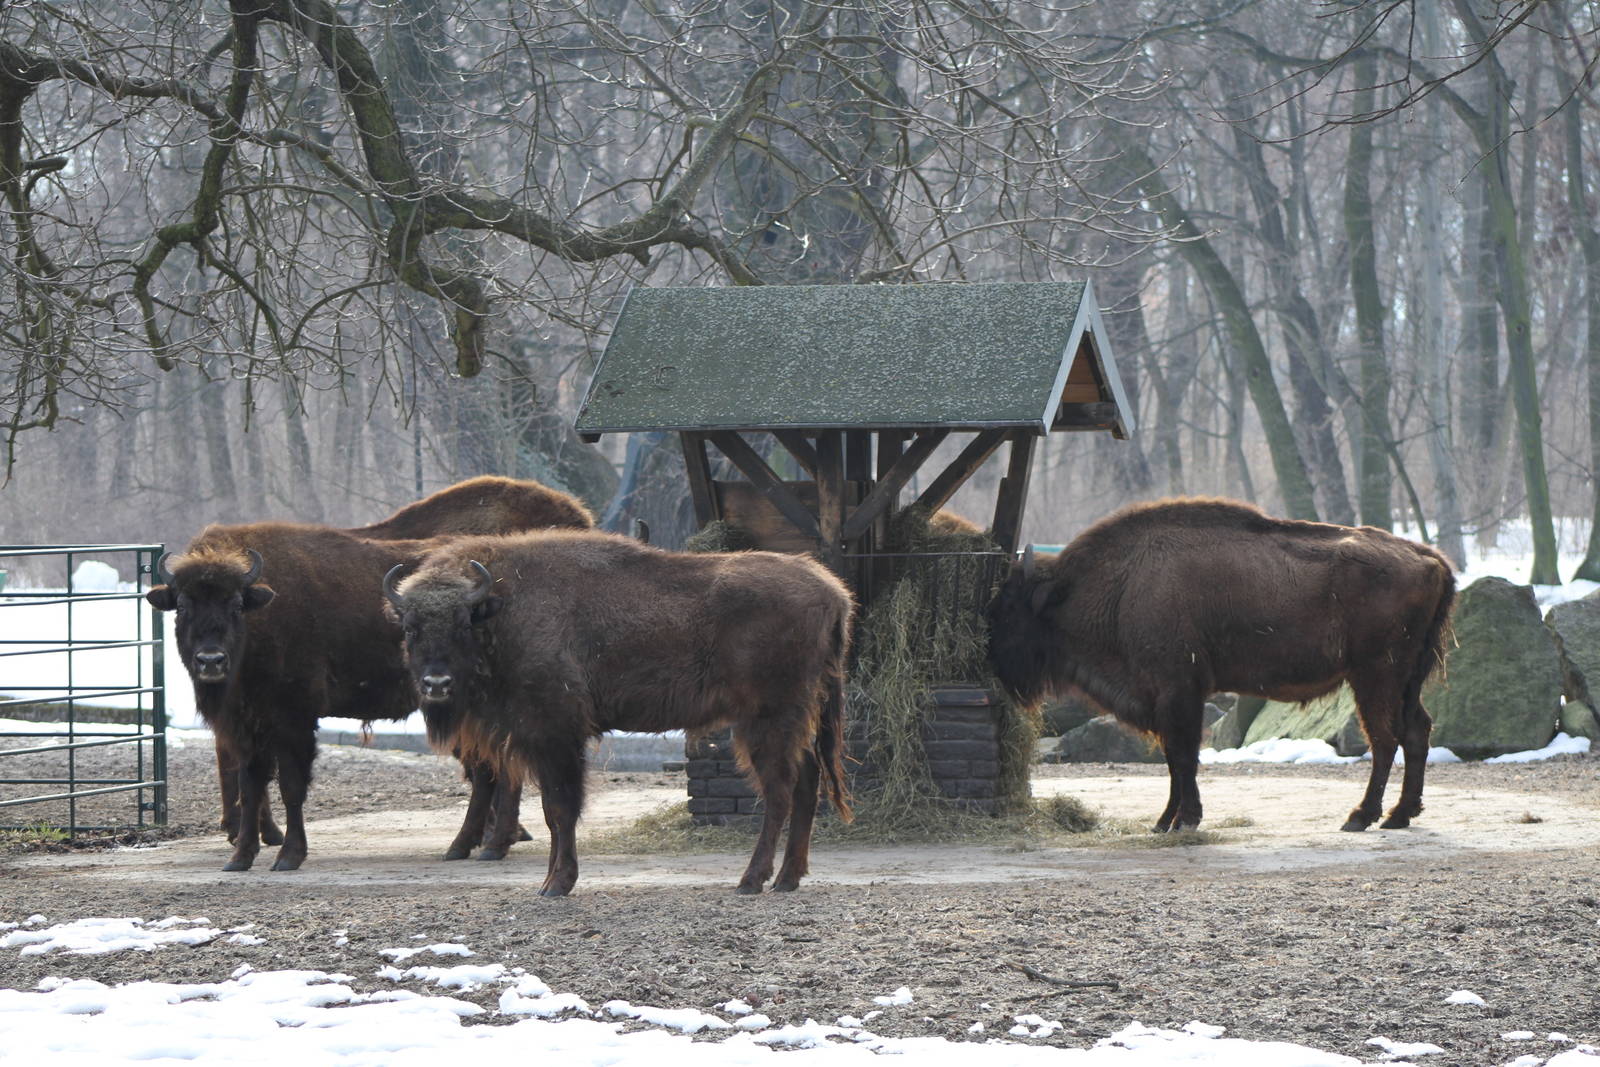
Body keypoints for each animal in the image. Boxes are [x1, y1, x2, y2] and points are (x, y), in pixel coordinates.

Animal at [384, 530, 854, 896]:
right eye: (410, 627)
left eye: (463, 623)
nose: (437, 684)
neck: (502, 608)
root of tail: (833, 593)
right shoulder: (541, 741)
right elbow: (553, 813)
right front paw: (549, 881)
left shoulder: (557, 736)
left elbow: (562, 809)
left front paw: (558, 885)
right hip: (794, 719)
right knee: (806, 784)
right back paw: (788, 879)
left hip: (767, 720)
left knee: (779, 791)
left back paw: (751, 880)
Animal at [987, 498, 1455, 834]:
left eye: (1009, 607)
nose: (991, 660)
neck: (1115, 586)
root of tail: (1430, 559)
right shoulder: (1166, 698)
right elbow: (1175, 759)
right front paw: (1164, 822)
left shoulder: (1178, 691)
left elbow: (1183, 756)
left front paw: (1184, 820)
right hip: (1406, 680)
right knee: (1416, 732)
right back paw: (1400, 815)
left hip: (1375, 676)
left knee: (1384, 739)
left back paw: (1360, 817)